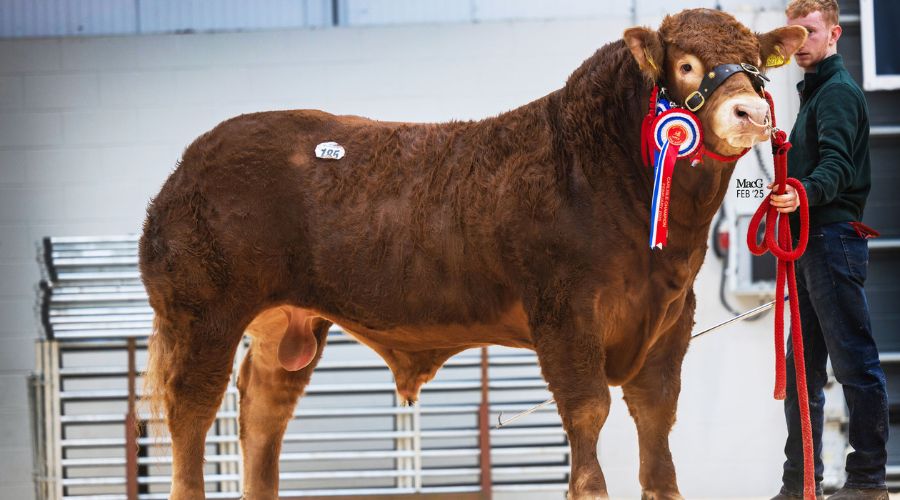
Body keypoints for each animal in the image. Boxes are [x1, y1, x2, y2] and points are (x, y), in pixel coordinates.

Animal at [142, 8, 808, 500]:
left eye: (756, 65)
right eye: (688, 64)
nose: (751, 110)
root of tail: (187, 165)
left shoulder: (673, 314)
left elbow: (656, 419)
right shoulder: (565, 311)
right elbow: (588, 409)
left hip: (285, 326)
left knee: (262, 413)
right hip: (203, 313)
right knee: (191, 411)